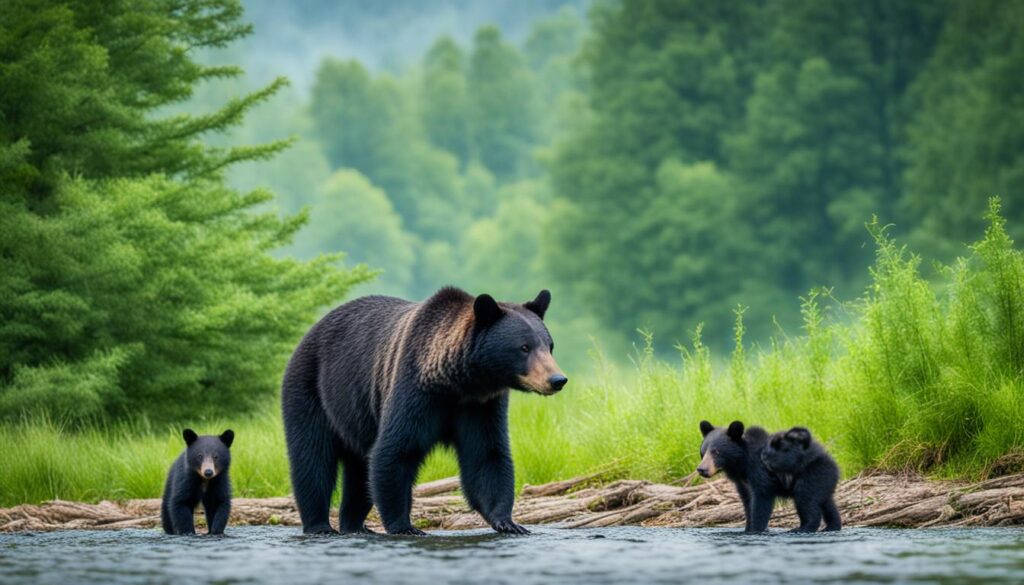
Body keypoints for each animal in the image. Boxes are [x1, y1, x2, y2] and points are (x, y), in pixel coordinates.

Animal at [280, 288, 569, 536]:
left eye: (549, 345)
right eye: (524, 347)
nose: (557, 379)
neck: (460, 383)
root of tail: (310, 332)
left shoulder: (481, 406)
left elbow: (486, 456)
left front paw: (508, 522)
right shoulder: (416, 391)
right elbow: (395, 450)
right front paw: (404, 525)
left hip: (356, 415)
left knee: (359, 471)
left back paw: (356, 525)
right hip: (311, 389)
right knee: (313, 459)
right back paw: (319, 525)